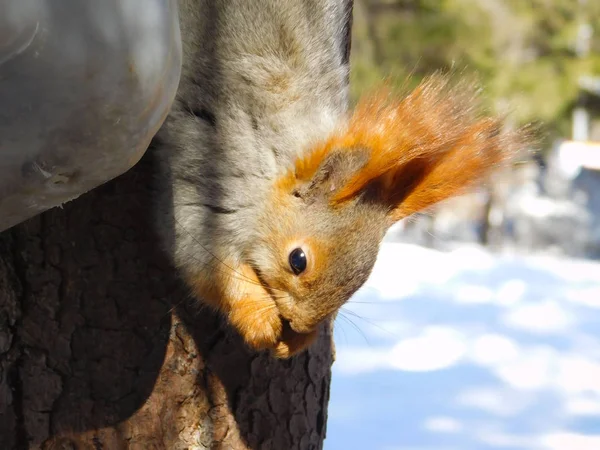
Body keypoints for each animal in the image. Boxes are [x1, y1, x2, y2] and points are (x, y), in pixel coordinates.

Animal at [154, 0, 528, 358]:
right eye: (298, 261)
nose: (300, 323)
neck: (278, 161)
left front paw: (297, 342)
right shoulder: (205, 185)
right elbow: (206, 266)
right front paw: (260, 320)